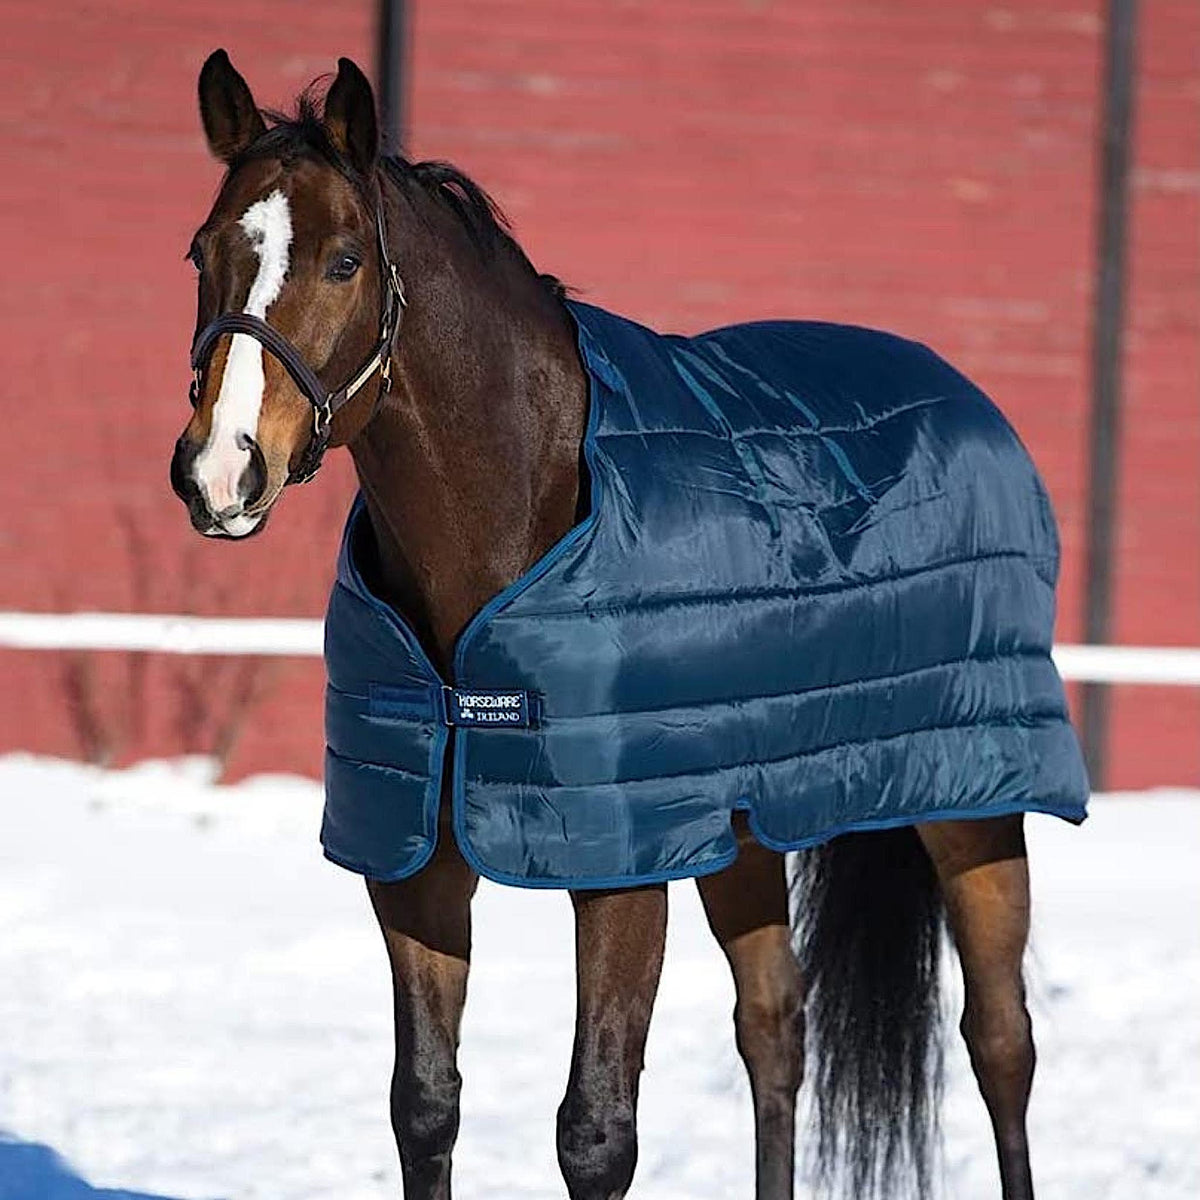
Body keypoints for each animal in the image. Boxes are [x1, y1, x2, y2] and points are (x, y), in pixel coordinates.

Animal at [171, 51, 1060, 1195]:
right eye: (203, 250)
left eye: (343, 261)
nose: (220, 469)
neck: (524, 505)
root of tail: (963, 396)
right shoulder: (414, 859)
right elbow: (424, 1105)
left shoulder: (620, 869)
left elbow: (595, 1131)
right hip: (742, 828)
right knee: (776, 1030)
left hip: (976, 805)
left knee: (1000, 1041)